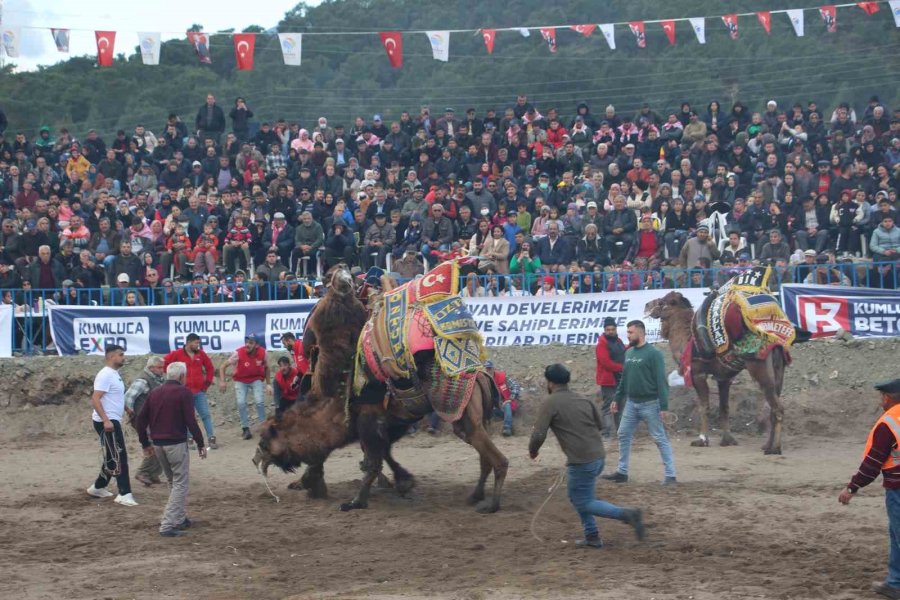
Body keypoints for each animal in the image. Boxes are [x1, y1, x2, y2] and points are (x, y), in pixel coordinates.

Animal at [648, 290, 788, 454]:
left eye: (661, 302)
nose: (648, 307)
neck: (687, 341)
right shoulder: (724, 378)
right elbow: (724, 408)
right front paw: (727, 440)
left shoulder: (697, 374)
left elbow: (704, 407)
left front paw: (702, 440)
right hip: (779, 373)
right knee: (773, 408)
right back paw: (767, 445)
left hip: (761, 371)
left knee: (778, 408)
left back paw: (775, 448)